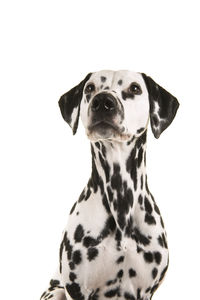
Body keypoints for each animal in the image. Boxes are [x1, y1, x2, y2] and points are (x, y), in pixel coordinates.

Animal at [40, 69, 180, 300]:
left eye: (135, 88)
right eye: (90, 88)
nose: (103, 101)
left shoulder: (146, 292)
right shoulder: (76, 289)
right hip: (55, 292)